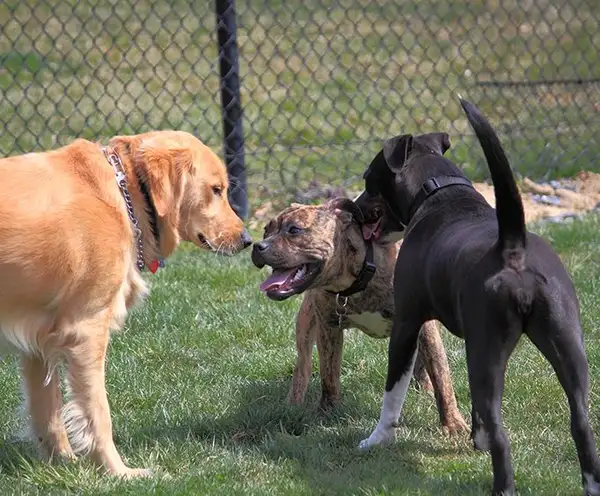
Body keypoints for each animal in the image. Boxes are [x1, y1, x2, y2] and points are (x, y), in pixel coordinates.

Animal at [251, 198, 466, 434]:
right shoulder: (329, 328)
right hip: (305, 323)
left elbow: (441, 376)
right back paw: (293, 403)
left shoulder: (424, 327)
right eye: (266, 230)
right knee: (303, 366)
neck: (358, 279)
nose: (258, 246)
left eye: (294, 230)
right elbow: (329, 375)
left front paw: (453, 424)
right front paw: (327, 412)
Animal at [354, 98, 600, 496]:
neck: (440, 192)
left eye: (367, 181)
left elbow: (393, 392)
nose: (352, 207)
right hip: (567, 344)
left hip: (487, 350)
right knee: (580, 423)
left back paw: (501, 486)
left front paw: (377, 439)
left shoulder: (406, 324)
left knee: (501, 433)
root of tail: (512, 248)